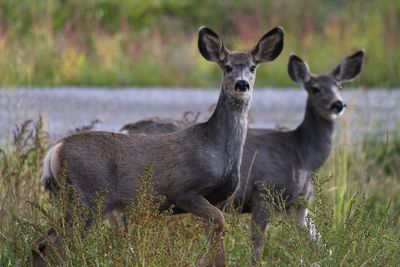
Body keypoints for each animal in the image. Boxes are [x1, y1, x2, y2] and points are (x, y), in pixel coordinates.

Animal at [34, 25, 284, 267]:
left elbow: (219, 246)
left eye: (253, 67)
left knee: (44, 244)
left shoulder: (221, 199)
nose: (242, 84)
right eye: (228, 67)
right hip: (90, 196)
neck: (215, 148)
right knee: (54, 245)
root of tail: (54, 151)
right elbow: (220, 225)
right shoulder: (183, 190)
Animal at [119, 50, 366, 266]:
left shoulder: (299, 205)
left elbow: (320, 245)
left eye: (340, 87)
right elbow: (257, 246)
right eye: (315, 89)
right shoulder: (264, 193)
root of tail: (127, 128)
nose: (338, 104)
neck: (302, 156)